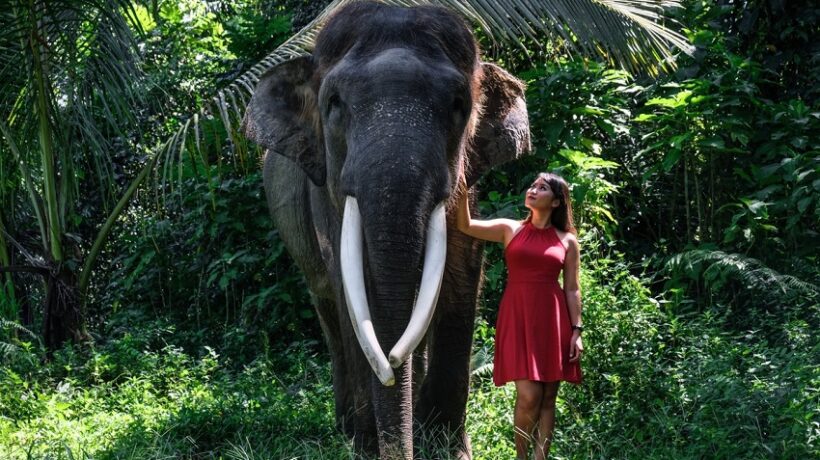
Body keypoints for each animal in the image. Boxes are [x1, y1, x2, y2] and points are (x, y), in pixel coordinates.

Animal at [242, 2, 530, 458]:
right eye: (334, 103)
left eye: (459, 104)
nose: (392, 367)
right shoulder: (326, 194)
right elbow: (350, 288)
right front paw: (367, 447)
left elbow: (462, 271)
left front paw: (449, 450)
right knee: (328, 307)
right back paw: (346, 426)